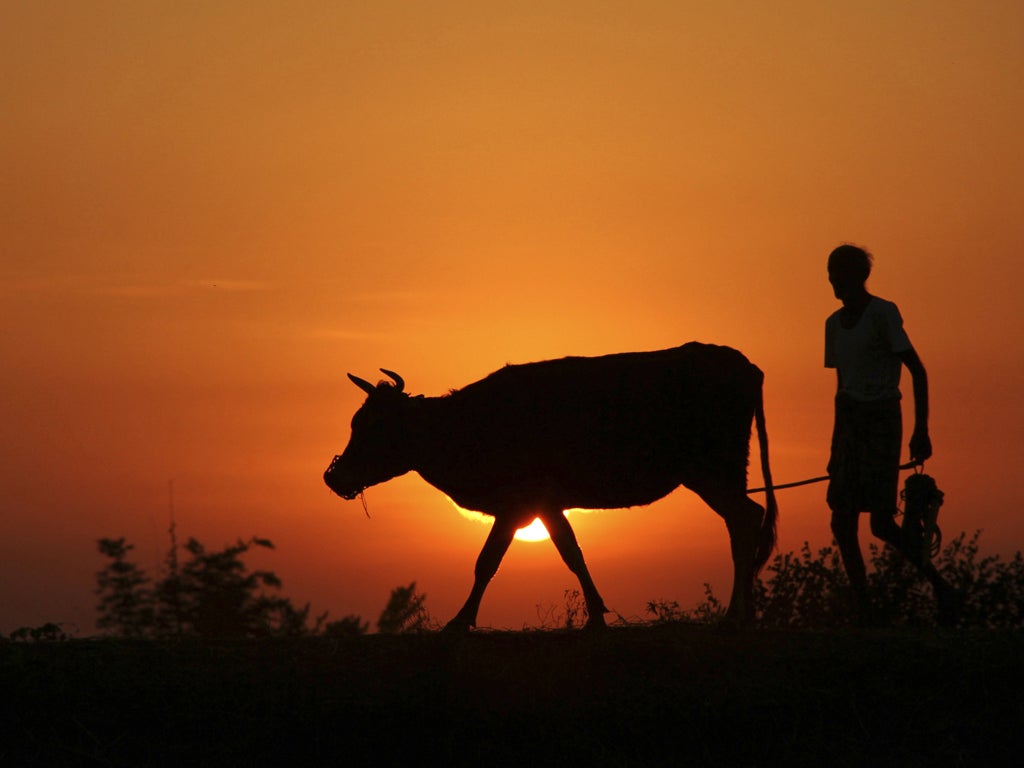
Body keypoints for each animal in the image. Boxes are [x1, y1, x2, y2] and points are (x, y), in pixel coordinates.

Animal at [325, 344, 774, 630]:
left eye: (374, 427)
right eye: (354, 422)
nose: (333, 477)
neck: (463, 426)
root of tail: (746, 365)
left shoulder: (519, 503)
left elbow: (487, 562)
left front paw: (459, 621)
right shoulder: (546, 506)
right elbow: (571, 552)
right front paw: (596, 616)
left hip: (713, 470)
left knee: (745, 520)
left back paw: (736, 617)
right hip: (718, 475)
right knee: (747, 519)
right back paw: (745, 615)